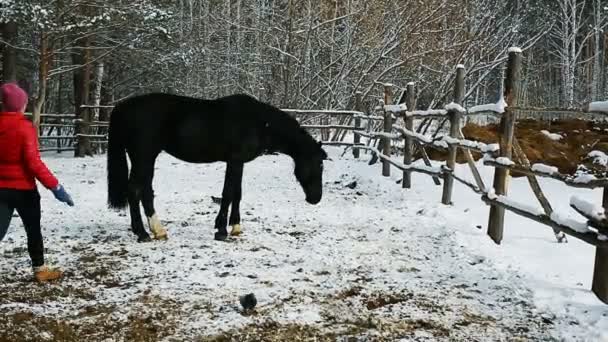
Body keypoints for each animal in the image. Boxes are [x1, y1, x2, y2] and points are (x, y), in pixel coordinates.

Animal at [107, 93, 330, 242]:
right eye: (318, 164)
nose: (316, 198)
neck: (259, 122)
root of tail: (122, 107)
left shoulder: (238, 163)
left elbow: (237, 193)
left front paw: (235, 227)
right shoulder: (234, 161)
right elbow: (228, 193)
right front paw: (221, 230)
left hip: (145, 158)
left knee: (143, 191)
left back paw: (154, 230)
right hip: (143, 157)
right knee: (135, 190)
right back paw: (144, 233)